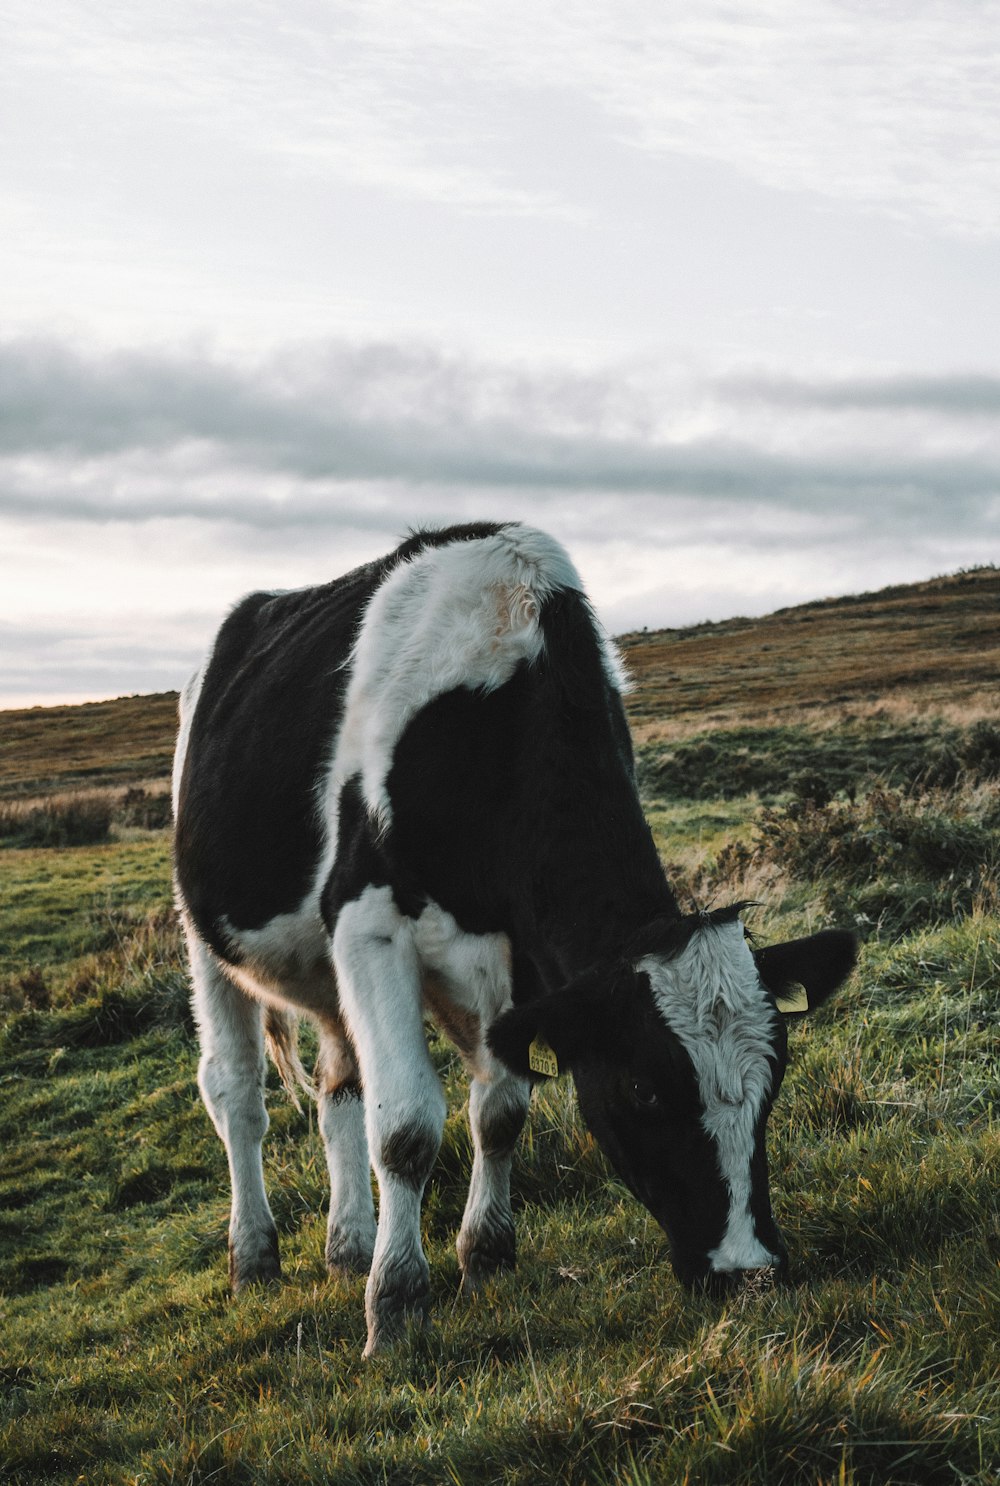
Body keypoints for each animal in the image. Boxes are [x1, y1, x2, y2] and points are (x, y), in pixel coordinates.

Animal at [169, 523, 849, 1361]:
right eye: (643, 1088)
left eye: (776, 1076)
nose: (748, 1271)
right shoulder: (368, 921)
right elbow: (406, 1129)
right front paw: (397, 1307)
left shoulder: (523, 955)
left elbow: (501, 1108)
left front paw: (484, 1255)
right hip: (205, 935)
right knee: (235, 1093)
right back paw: (256, 1256)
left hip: (329, 979)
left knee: (339, 1093)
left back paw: (348, 1246)